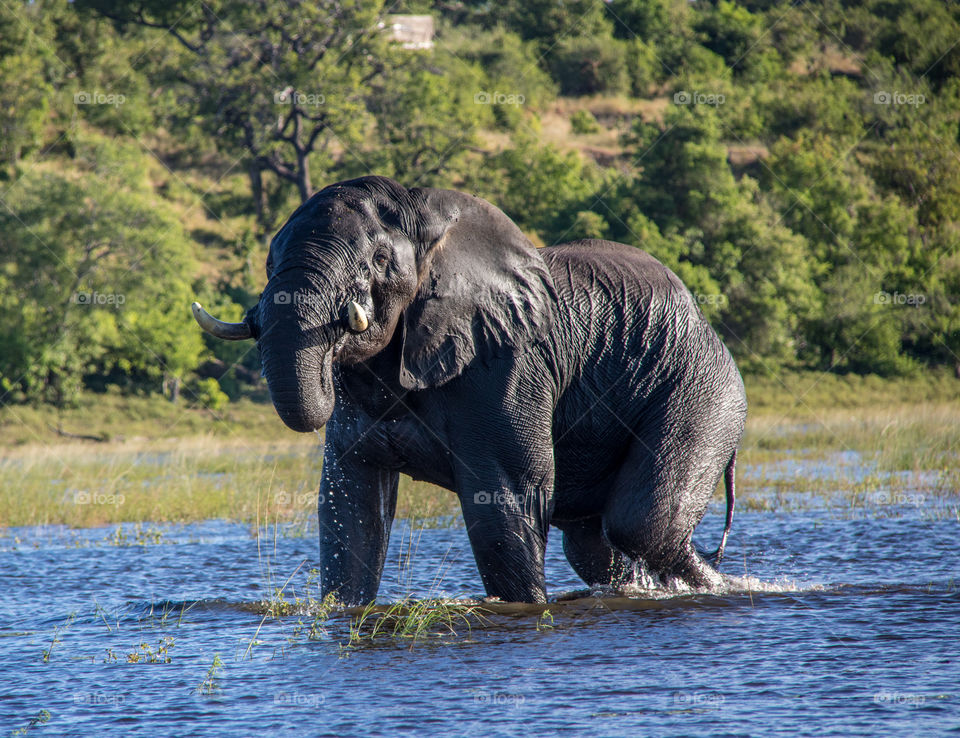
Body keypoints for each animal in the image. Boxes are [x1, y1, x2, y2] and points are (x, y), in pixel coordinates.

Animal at [192, 175, 747, 605]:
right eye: (268, 262)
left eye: (378, 259)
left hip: (702, 386)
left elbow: (502, 498)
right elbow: (351, 507)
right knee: (592, 542)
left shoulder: (503, 362)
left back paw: (727, 587)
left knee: (643, 525)